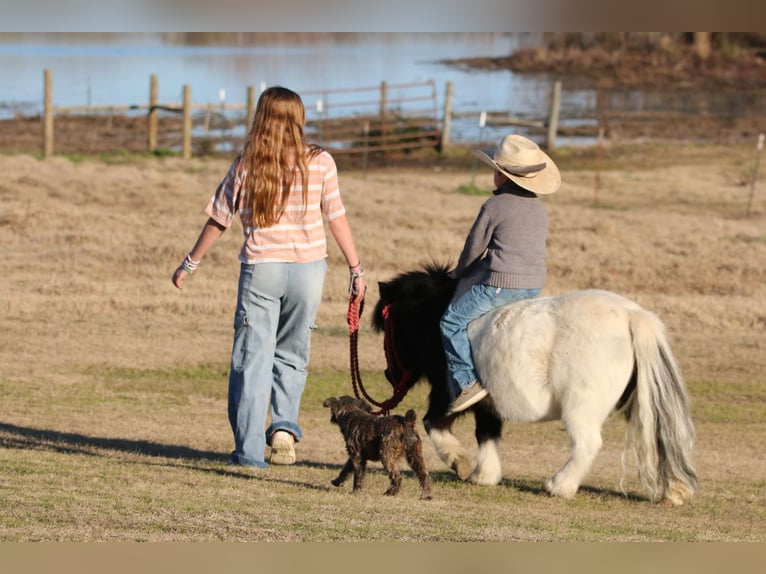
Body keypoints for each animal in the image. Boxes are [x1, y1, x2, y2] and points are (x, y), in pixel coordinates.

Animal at [374, 266, 704, 508]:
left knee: (587, 445)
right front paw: (485, 475)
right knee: (660, 438)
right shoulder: (488, 403)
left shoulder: (449, 395)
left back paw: (558, 486)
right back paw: (674, 491)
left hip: (580, 408)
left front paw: (459, 461)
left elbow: (434, 424)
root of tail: (630, 315)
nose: (389, 375)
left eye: (390, 329)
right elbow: (487, 434)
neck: (435, 319)